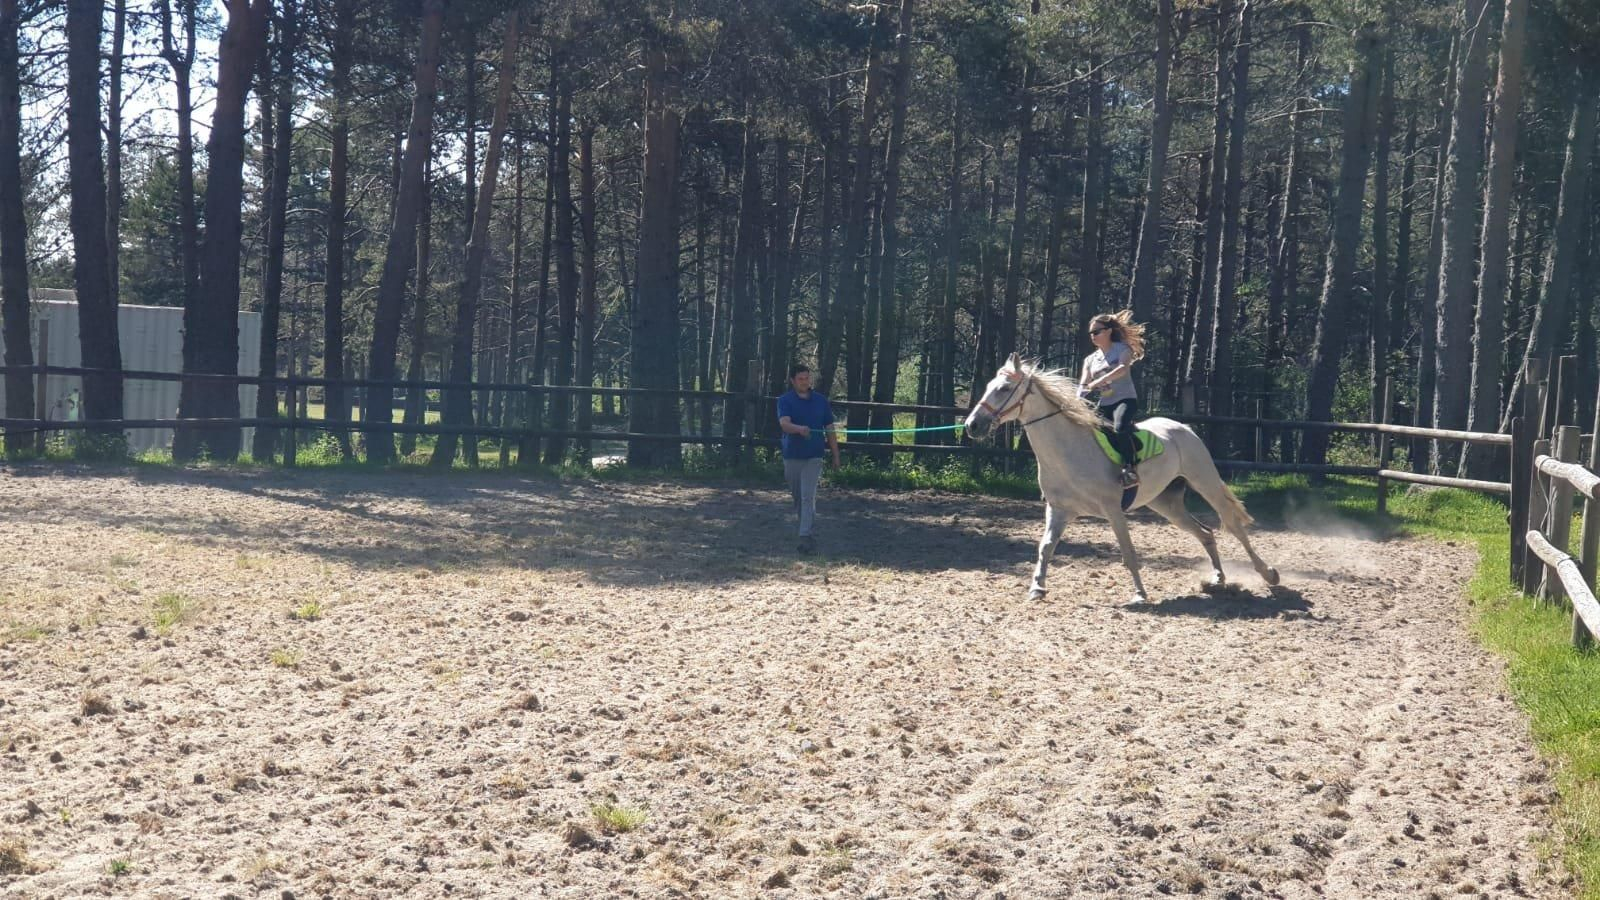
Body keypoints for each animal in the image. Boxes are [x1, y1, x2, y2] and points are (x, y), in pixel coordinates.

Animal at [964, 354, 1280, 604]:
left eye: (1004, 388)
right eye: (989, 387)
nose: (971, 425)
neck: (1069, 451)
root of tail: (1183, 427)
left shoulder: (1112, 510)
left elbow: (1127, 551)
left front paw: (1140, 594)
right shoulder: (1058, 509)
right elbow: (1045, 547)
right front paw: (1037, 589)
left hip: (1206, 483)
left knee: (1234, 527)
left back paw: (1270, 575)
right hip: (1166, 504)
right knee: (1206, 533)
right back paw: (1217, 579)